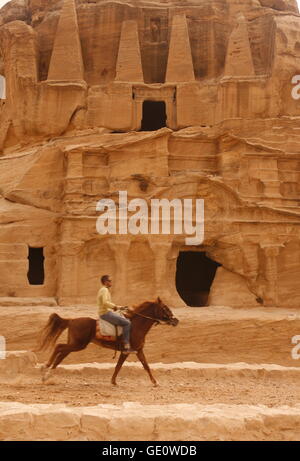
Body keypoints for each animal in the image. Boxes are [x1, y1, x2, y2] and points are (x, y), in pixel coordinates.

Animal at [37, 294, 178, 384]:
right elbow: (119, 366)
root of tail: (71, 320)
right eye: (165, 308)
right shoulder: (126, 352)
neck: (135, 325)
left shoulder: (138, 351)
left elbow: (145, 366)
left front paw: (155, 382)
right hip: (78, 345)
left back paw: (47, 375)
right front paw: (113, 381)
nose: (176, 320)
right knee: (58, 347)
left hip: (74, 344)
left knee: (61, 355)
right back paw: (45, 366)